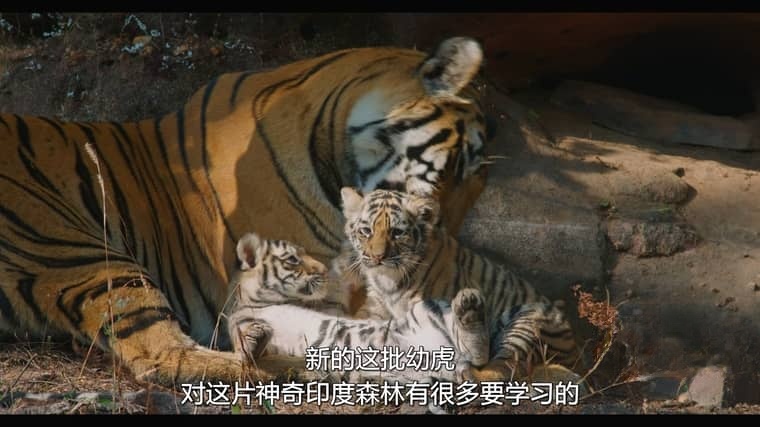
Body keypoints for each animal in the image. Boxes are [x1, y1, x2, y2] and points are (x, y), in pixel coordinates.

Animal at [225, 232, 490, 384]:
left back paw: (469, 306)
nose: (323, 270)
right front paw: (256, 336)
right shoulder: (242, 324)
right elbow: (247, 344)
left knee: (477, 352)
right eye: (292, 259)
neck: (270, 301)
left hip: (427, 309)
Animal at [338, 186, 580, 380]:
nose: (377, 257)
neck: (388, 279)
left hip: (528, 325)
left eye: (397, 232)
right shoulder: (377, 307)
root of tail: (576, 351)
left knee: (496, 369)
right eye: (366, 231)